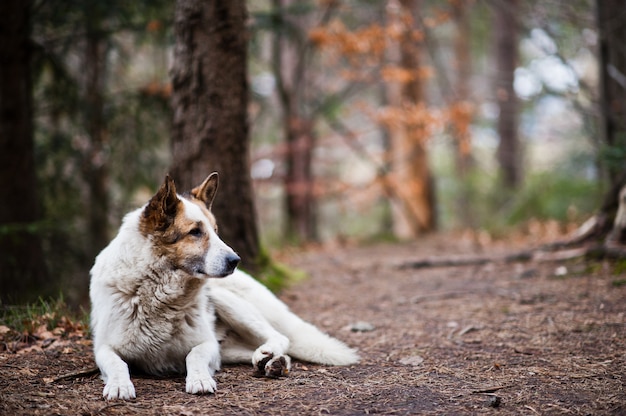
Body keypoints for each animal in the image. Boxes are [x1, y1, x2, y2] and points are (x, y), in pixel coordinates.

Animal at [90, 173, 358, 400]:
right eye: (195, 232)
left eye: (216, 231)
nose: (235, 260)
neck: (159, 292)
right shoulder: (103, 347)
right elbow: (117, 363)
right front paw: (119, 385)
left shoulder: (206, 344)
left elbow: (194, 355)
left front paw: (199, 380)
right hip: (229, 345)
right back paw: (273, 362)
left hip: (228, 302)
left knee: (280, 336)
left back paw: (269, 357)